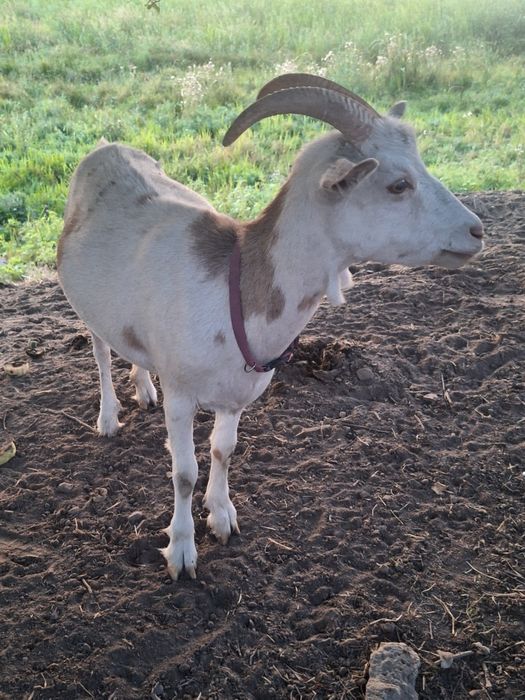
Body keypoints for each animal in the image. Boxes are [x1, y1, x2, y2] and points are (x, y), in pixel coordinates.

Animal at [57, 73, 484, 579]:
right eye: (398, 184)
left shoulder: (239, 393)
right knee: (102, 352)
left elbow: (223, 451)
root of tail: (107, 148)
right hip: (87, 306)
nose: (477, 231)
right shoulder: (182, 395)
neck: (233, 292)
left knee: (132, 350)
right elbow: (183, 474)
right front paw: (181, 551)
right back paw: (108, 418)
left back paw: (143, 388)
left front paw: (222, 518)